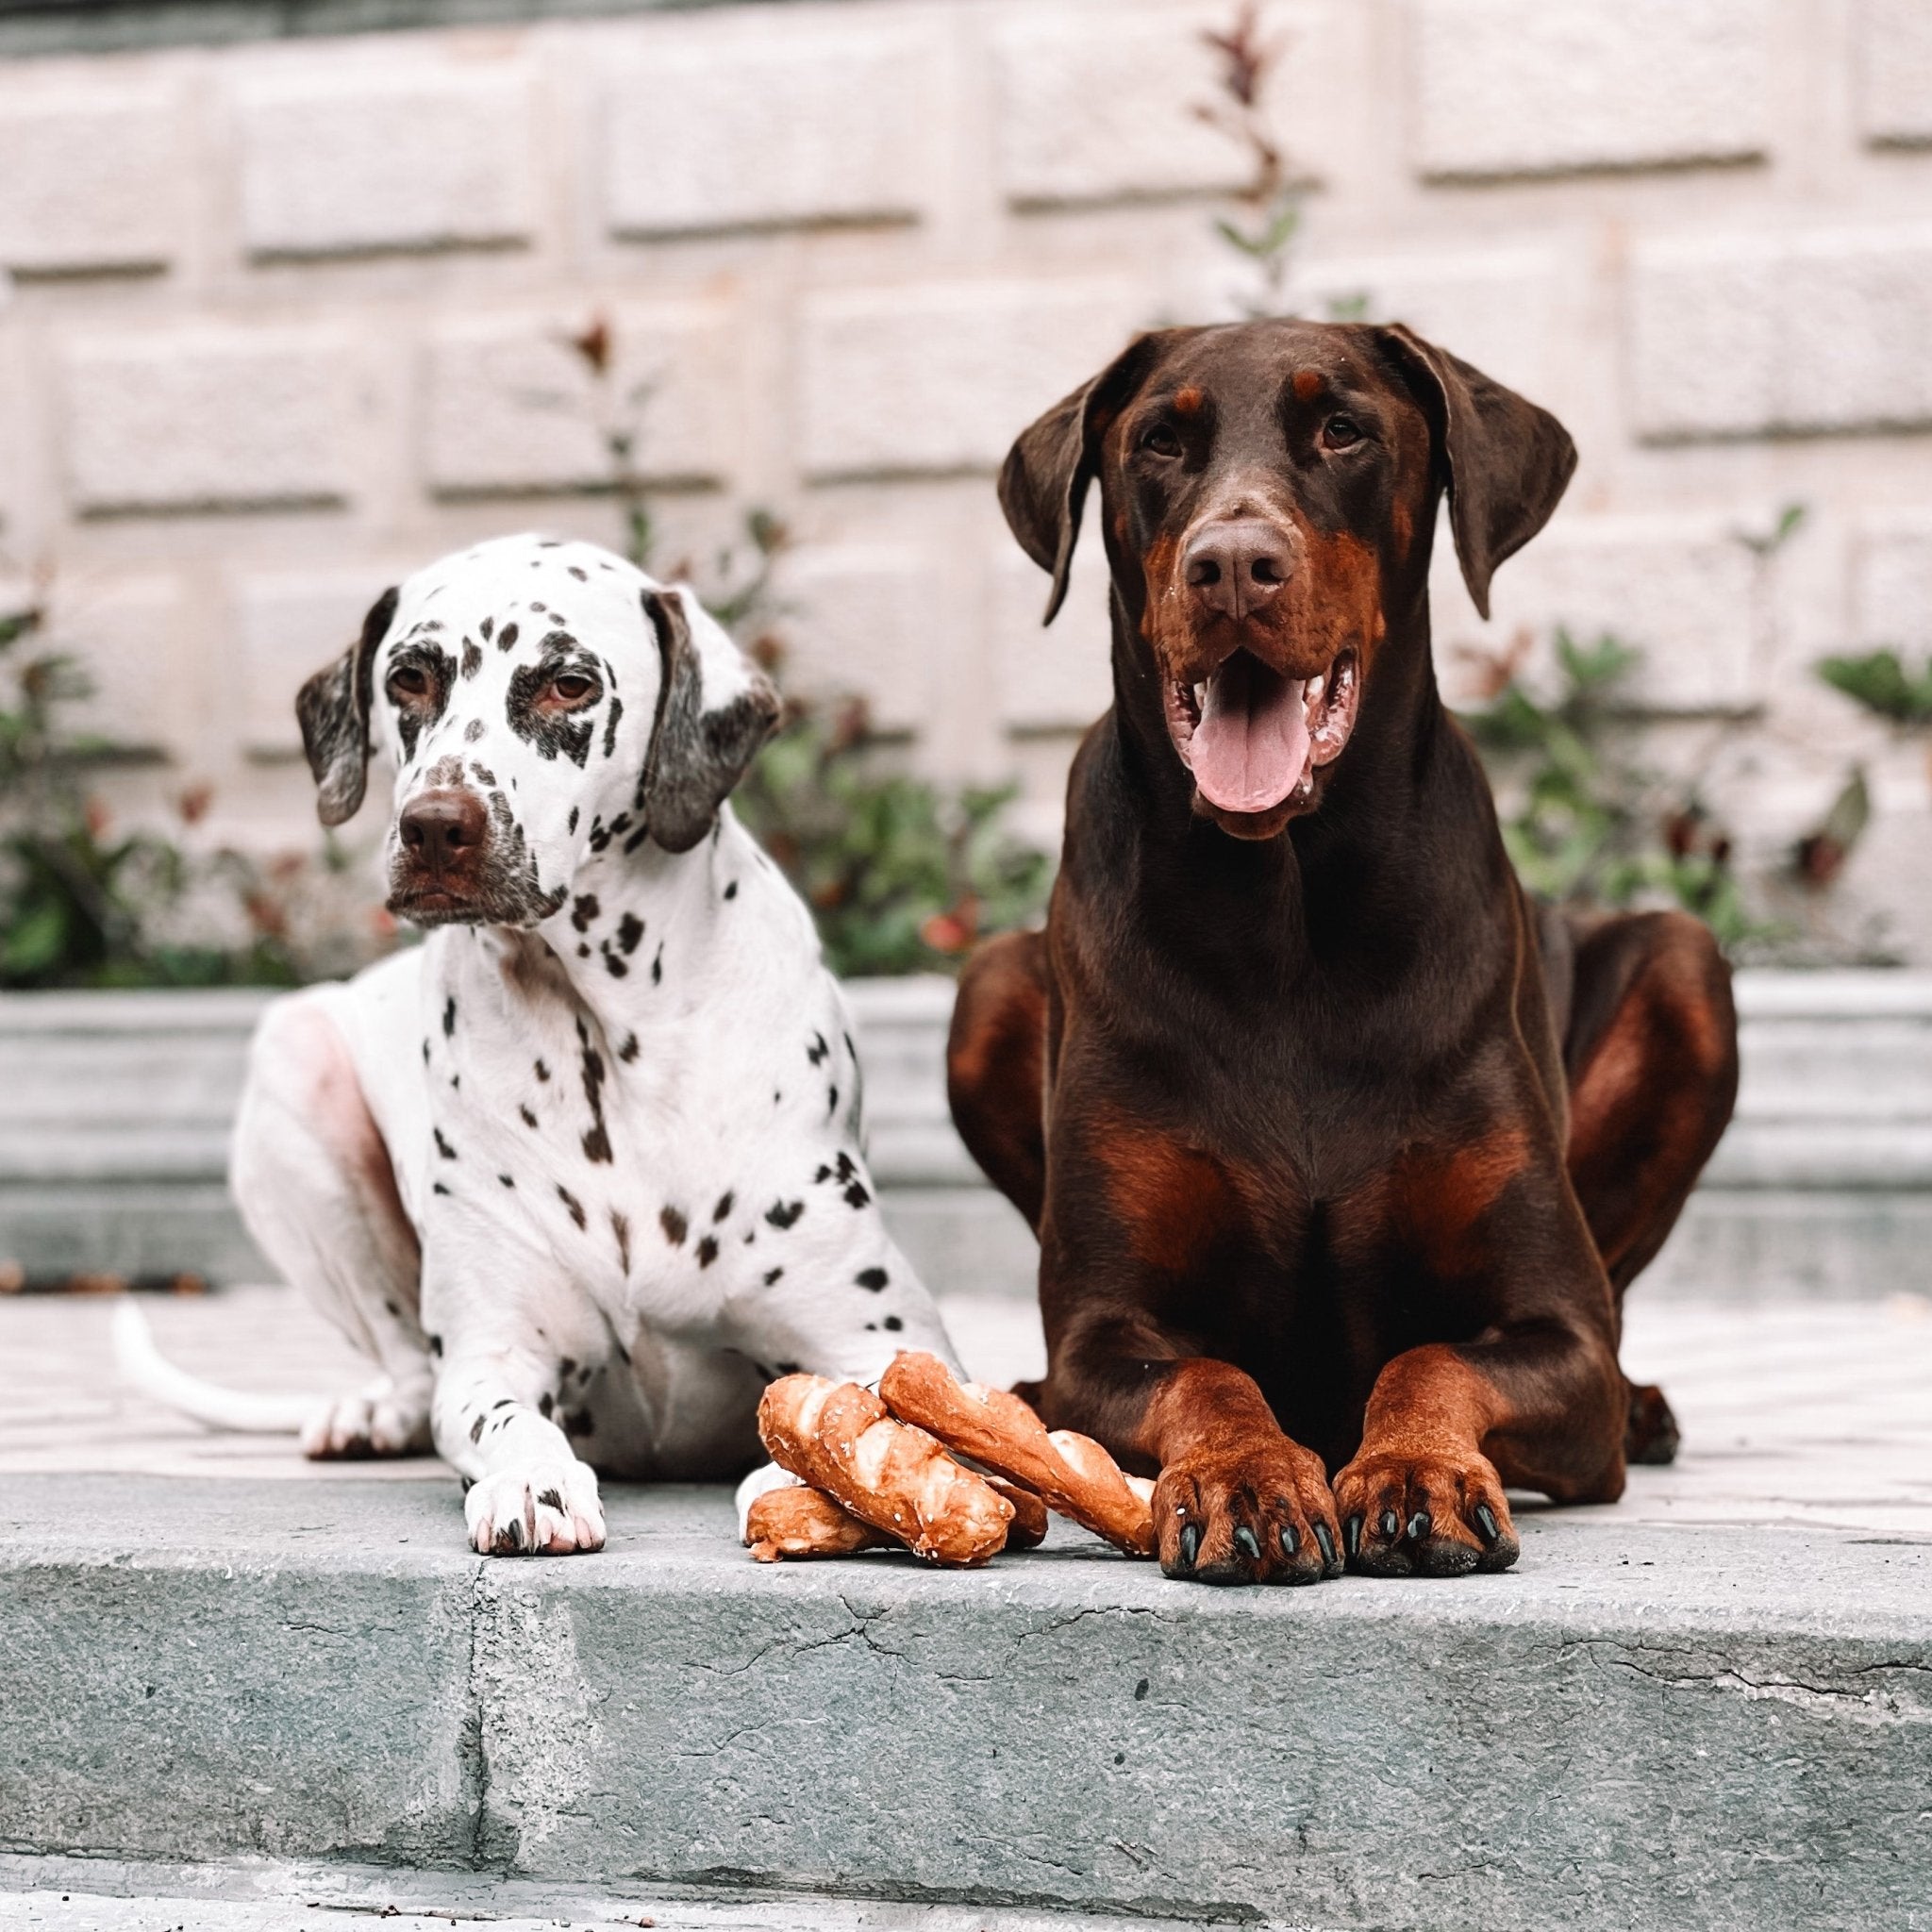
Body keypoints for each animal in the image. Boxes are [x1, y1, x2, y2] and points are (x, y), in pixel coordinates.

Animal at [193, 533, 958, 1553]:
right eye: (409, 677)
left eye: (566, 684)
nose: (434, 826)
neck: (605, 1035)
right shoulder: (492, 1354)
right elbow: (499, 1415)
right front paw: (533, 1482)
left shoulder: (886, 1336)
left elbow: (874, 1403)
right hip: (296, 1058)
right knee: (409, 1365)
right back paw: (373, 1410)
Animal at [950, 316, 1739, 1584]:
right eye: (1158, 440)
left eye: (1341, 428)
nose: (1231, 564)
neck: (1288, 915)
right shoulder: (1102, 1333)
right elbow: (1205, 1371)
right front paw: (1245, 1474)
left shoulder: (1555, 1332)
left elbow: (1434, 1356)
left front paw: (1416, 1470)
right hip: (982, 992)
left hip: (1683, 964)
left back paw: (1647, 1402)